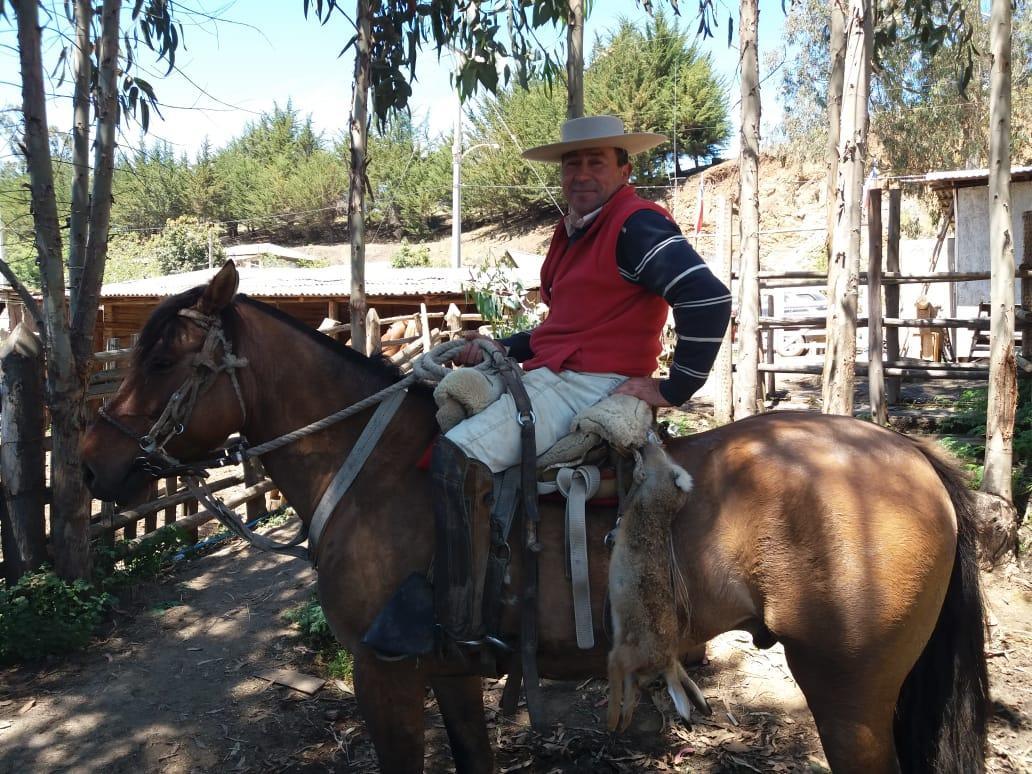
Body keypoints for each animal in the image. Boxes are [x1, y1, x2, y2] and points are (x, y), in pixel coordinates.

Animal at [84, 264, 986, 771]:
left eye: (161, 359)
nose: (94, 462)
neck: (368, 466)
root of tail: (912, 458)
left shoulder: (384, 677)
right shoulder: (448, 674)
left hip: (847, 692)